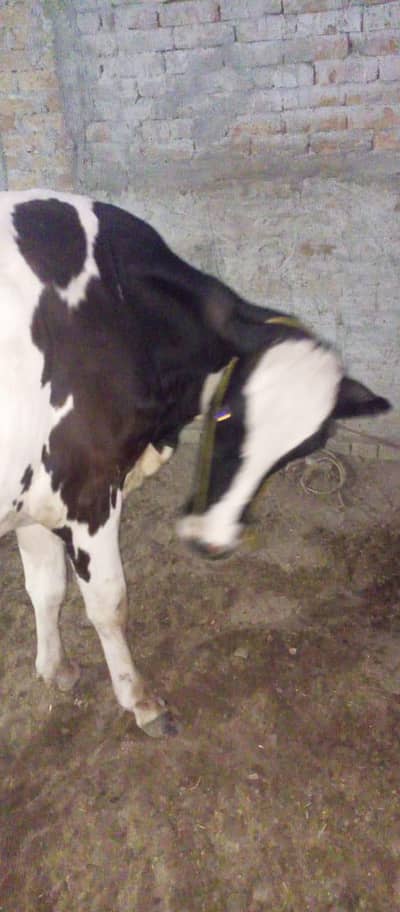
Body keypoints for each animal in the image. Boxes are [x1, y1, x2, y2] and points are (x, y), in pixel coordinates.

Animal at [0, 189, 390, 737]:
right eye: (226, 414)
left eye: (298, 450)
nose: (213, 542)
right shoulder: (88, 492)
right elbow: (109, 603)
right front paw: (141, 701)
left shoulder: (37, 493)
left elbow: (46, 588)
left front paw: (54, 668)